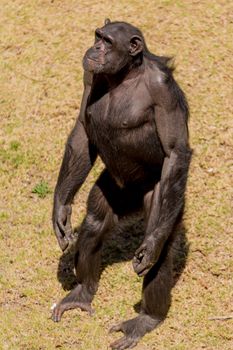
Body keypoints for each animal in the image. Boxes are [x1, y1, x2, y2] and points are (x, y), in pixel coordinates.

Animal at [52, 19, 192, 350]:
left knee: (159, 250)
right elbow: (82, 130)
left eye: (107, 41)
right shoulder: (89, 75)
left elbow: (175, 152)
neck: (125, 75)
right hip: (115, 189)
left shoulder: (163, 90)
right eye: (98, 36)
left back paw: (146, 319)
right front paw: (61, 210)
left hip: (164, 198)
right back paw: (82, 292)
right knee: (95, 221)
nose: (95, 47)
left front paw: (150, 249)